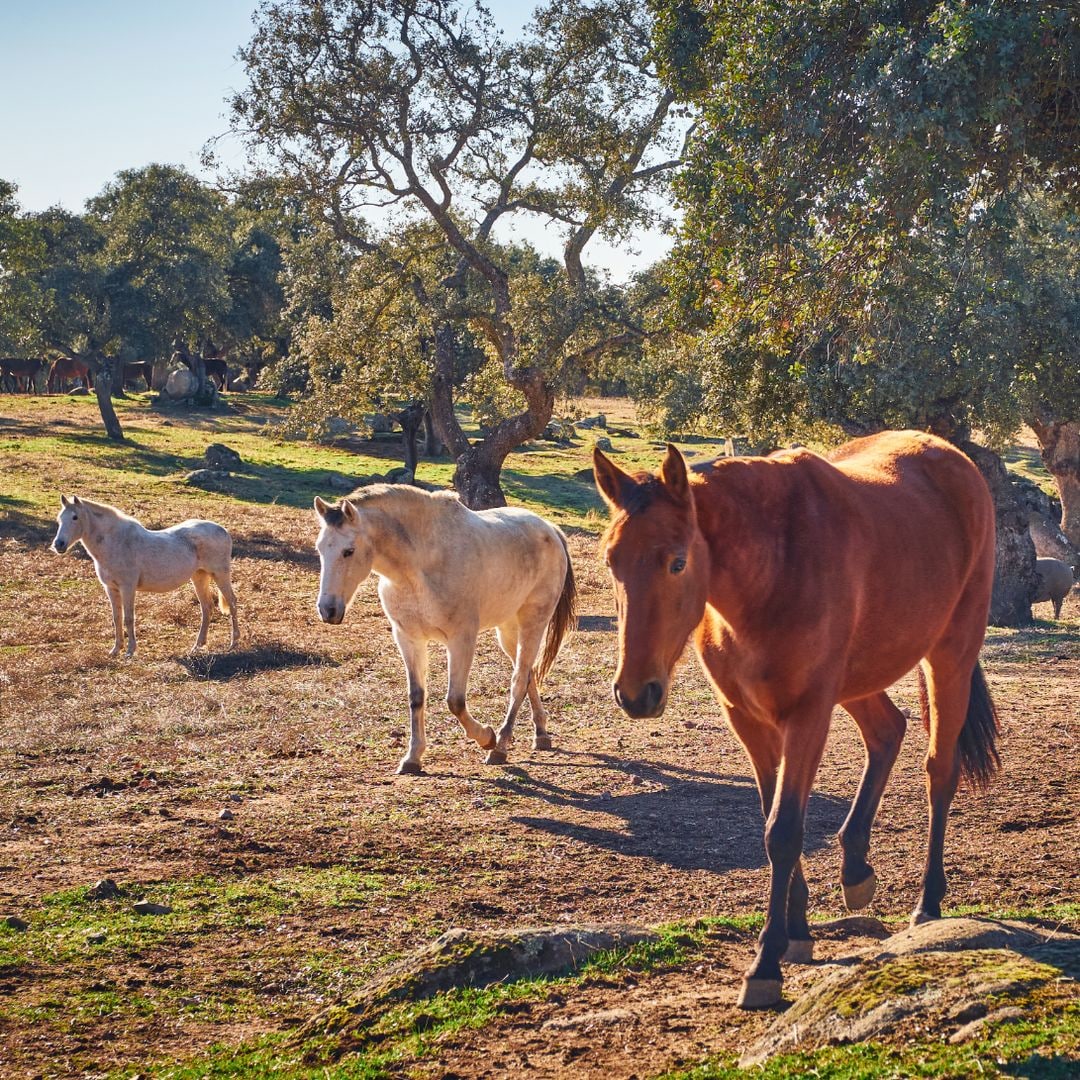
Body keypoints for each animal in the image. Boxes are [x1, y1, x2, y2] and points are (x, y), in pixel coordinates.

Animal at [51, 495, 239, 657]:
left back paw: (233, 643)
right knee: (206, 608)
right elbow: (117, 618)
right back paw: (197, 646)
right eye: (60, 519)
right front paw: (115, 650)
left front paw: (130, 651)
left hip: (220, 575)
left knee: (232, 603)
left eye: (75, 517)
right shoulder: (111, 588)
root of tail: (223, 531)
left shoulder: (127, 588)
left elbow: (128, 618)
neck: (116, 542)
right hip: (199, 577)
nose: (58, 544)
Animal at [313, 485, 576, 773]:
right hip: (508, 630)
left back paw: (500, 746)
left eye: (348, 551)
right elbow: (417, 696)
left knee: (519, 680)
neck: (420, 565)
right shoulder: (409, 639)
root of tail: (551, 529)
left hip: (533, 623)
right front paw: (412, 757)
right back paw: (541, 734)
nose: (328, 610)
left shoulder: (461, 639)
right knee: (528, 674)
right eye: (320, 549)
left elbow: (455, 700)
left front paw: (486, 737)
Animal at [594, 430, 999, 1009]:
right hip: (859, 678)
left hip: (949, 658)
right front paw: (798, 932)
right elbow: (774, 821)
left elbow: (784, 830)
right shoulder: (749, 720)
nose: (634, 693)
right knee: (887, 731)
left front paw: (765, 963)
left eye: (676, 562)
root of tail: (947, 454)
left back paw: (928, 905)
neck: (773, 570)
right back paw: (856, 868)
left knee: (939, 773)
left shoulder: (807, 715)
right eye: (612, 563)